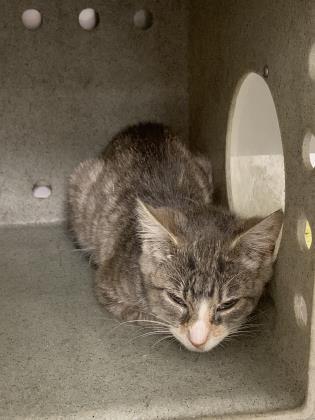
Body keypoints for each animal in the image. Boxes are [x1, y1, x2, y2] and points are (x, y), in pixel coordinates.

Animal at [67, 121, 284, 352]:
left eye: (228, 304)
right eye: (176, 299)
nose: (198, 340)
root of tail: (144, 127)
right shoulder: (107, 287)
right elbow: (146, 315)